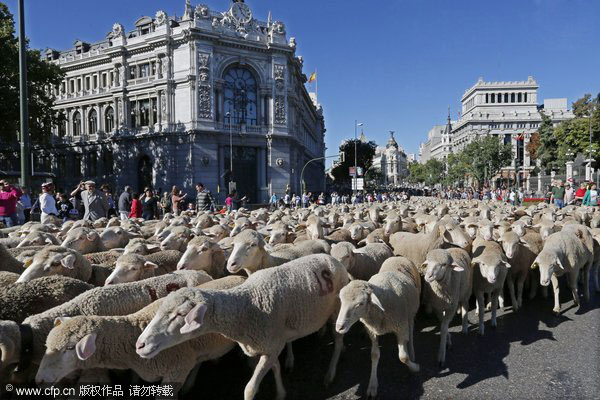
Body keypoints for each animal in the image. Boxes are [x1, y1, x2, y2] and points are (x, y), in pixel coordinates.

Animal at [336, 268, 420, 396]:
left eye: (360, 304)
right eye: (341, 300)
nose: (339, 327)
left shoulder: (401, 327)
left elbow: (403, 357)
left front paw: (415, 368)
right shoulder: (372, 331)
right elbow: (374, 355)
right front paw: (372, 384)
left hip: (410, 315)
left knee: (410, 332)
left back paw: (411, 350)